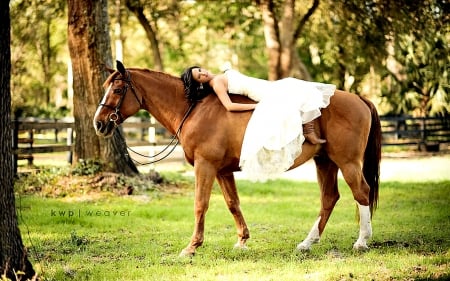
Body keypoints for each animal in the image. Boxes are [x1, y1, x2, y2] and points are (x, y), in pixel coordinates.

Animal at [94, 60, 380, 256]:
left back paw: (362, 241)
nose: (99, 123)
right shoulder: (222, 170)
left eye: (117, 89)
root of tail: (359, 99)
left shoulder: (205, 166)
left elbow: (200, 204)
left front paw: (192, 247)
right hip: (325, 161)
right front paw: (242, 240)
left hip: (347, 162)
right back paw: (307, 243)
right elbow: (233, 203)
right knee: (329, 198)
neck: (194, 109)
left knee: (361, 192)